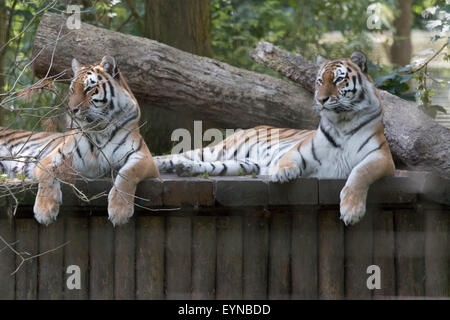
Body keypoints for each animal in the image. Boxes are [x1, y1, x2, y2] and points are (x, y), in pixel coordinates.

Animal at [0, 55, 161, 225]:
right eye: (72, 89)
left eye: (88, 89)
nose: (71, 109)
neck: (101, 127)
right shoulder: (54, 156)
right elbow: (47, 174)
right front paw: (44, 210)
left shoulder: (143, 157)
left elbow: (128, 174)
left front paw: (120, 210)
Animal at [155, 50, 394, 225]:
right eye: (319, 81)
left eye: (338, 81)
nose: (321, 99)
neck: (342, 121)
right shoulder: (300, 150)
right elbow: (288, 159)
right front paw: (281, 173)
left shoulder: (381, 157)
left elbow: (360, 173)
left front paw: (351, 211)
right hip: (219, 150)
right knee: (178, 155)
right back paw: (162, 164)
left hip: (240, 163)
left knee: (203, 165)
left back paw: (184, 168)